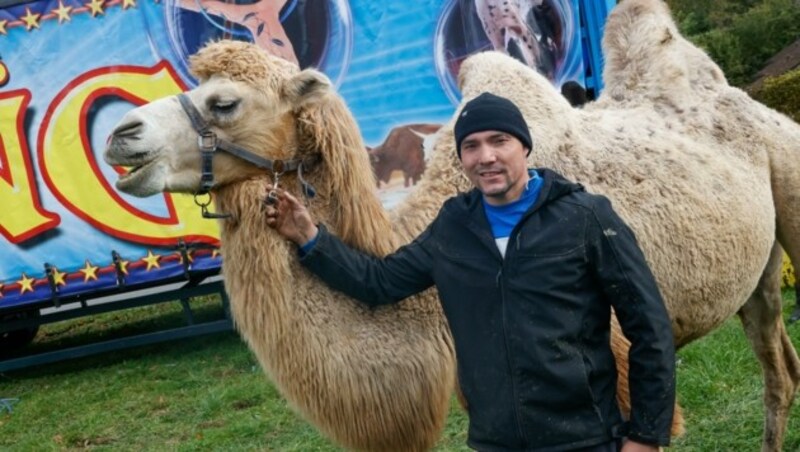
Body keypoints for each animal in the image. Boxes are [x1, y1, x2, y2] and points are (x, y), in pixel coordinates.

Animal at [101, 1, 800, 450]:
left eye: (225, 102)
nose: (120, 136)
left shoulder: (626, 373)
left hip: (788, 178)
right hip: (757, 267)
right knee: (778, 361)